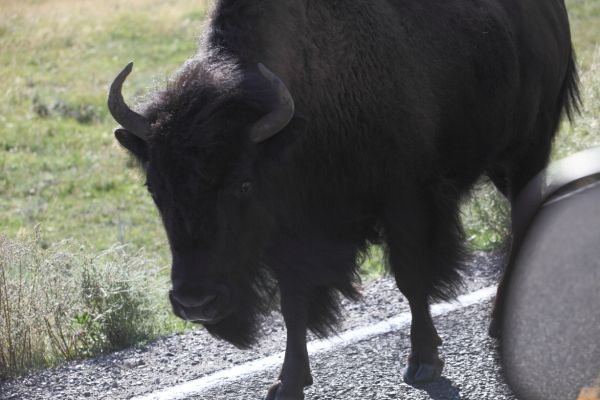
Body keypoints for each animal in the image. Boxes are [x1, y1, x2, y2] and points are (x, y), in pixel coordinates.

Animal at [106, 1, 576, 398]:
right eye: (154, 188)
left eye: (242, 183)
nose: (195, 303)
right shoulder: (288, 234)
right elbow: (293, 306)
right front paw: (288, 382)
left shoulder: (404, 203)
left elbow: (412, 281)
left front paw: (423, 361)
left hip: (528, 152)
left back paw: (498, 323)